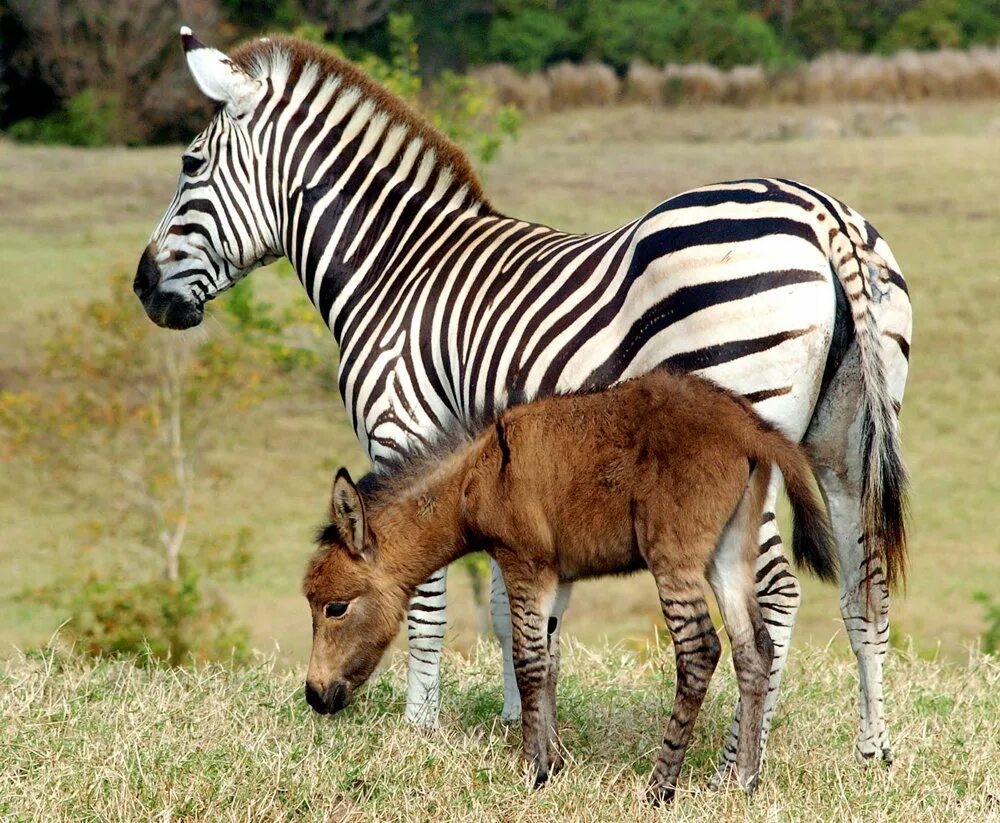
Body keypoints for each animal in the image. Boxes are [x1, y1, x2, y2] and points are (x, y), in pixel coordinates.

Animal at [300, 368, 832, 804]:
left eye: (335, 607)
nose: (314, 696)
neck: (474, 482)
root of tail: (744, 423)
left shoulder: (525, 565)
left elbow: (528, 662)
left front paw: (532, 770)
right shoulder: (557, 576)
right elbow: (551, 661)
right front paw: (553, 761)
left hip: (674, 556)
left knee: (700, 650)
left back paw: (660, 787)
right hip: (729, 551)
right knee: (753, 648)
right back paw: (744, 783)